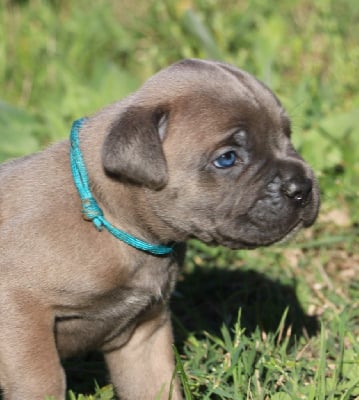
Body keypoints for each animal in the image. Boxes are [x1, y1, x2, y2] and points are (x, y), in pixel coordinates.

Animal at [0, 59, 320, 400]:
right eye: (227, 158)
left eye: (287, 135)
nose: (302, 187)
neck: (108, 215)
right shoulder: (21, 309)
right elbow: (43, 380)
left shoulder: (143, 339)